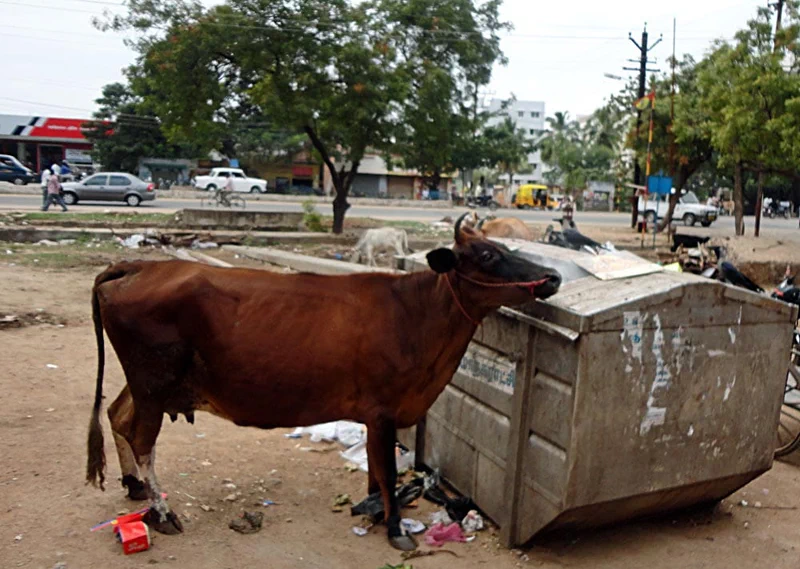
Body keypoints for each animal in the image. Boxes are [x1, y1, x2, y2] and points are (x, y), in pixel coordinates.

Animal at [84, 212, 560, 544]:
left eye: (501, 245)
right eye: (488, 255)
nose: (553, 275)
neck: (416, 313)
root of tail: (138, 265)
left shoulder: (376, 415)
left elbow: (375, 469)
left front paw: (374, 510)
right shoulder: (383, 409)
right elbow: (387, 469)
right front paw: (394, 528)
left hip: (146, 384)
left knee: (118, 416)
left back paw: (135, 490)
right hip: (153, 382)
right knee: (142, 440)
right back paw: (164, 513)